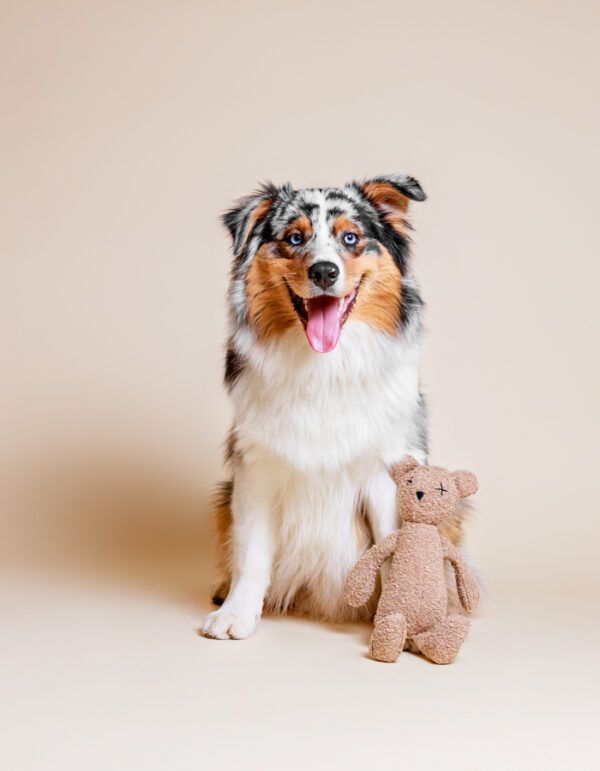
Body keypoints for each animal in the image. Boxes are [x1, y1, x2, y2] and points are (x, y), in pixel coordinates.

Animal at [202, 175, 464, 640]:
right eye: (294, 238)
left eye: (350, 238)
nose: (324, 271)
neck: (325, 367)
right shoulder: (256, 467)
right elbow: (250, 551)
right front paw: (236, 614)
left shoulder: (386, 470)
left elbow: (395, 548)